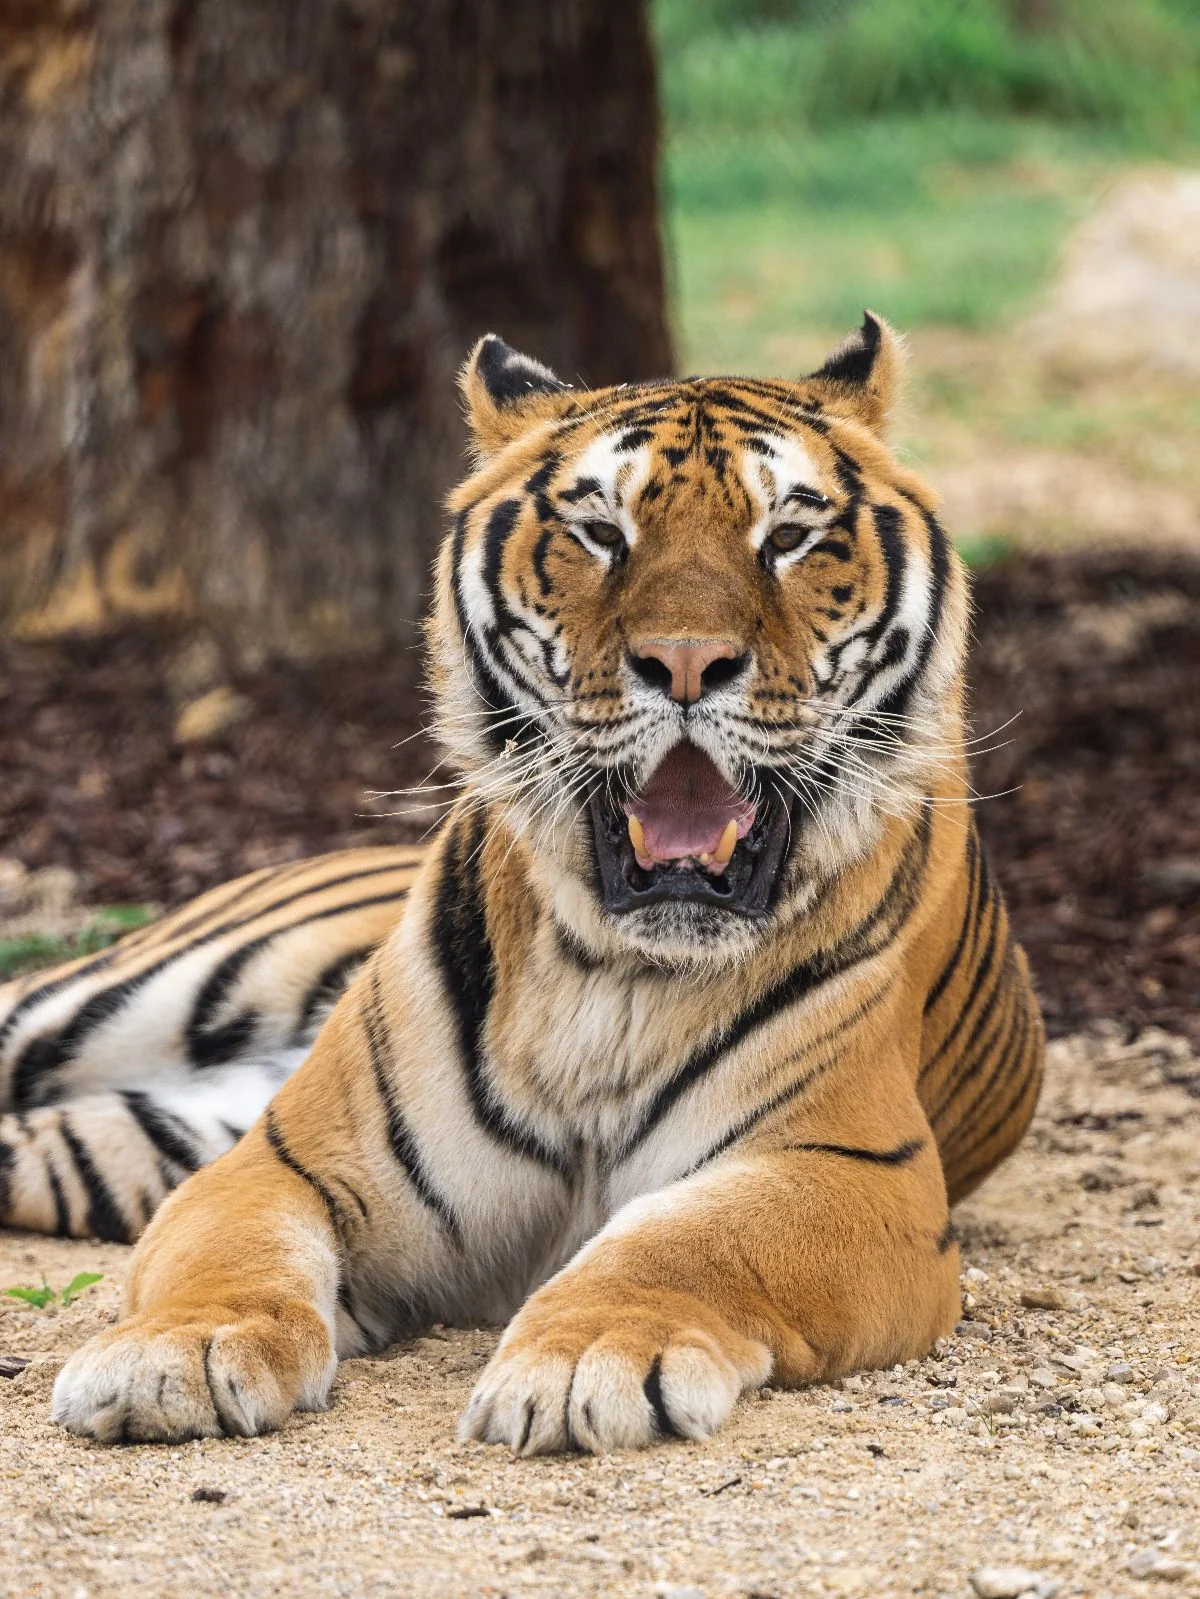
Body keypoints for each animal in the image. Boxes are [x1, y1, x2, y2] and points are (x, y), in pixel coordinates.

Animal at [7, 315, 1044, 1453]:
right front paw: (176, 1353)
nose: (687, 662)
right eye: (600, 533)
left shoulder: (848, 1169)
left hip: (117, 1150)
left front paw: (590, 1357)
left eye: (787, 538)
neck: (618, 977)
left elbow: (685, 1243)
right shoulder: (283, 1158)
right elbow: (231, 1249)